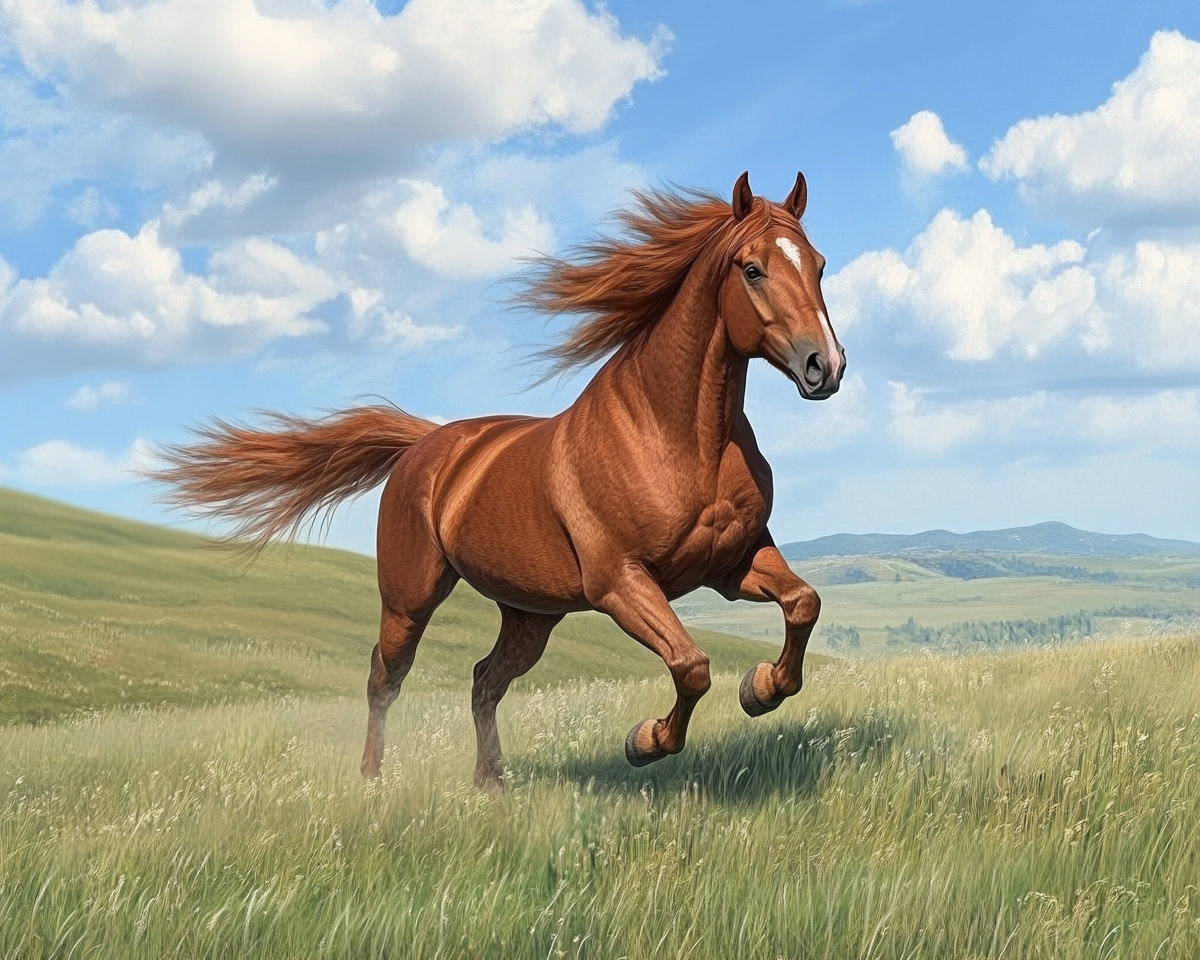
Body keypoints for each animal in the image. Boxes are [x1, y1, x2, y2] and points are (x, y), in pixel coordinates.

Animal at [153, 171, 846, 792]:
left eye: (818, 264)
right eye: (752, 269)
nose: (826, 366)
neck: (678, 437)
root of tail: (425, 445)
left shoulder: (731, 564)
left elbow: (804, 603)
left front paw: (761, 689)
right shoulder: (621, 583)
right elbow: (692, 665)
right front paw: (645, 741)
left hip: (529, 616)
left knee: (484, 679)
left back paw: (490, 782)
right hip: (409, 600)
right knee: (385, 678)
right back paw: (372, 781)